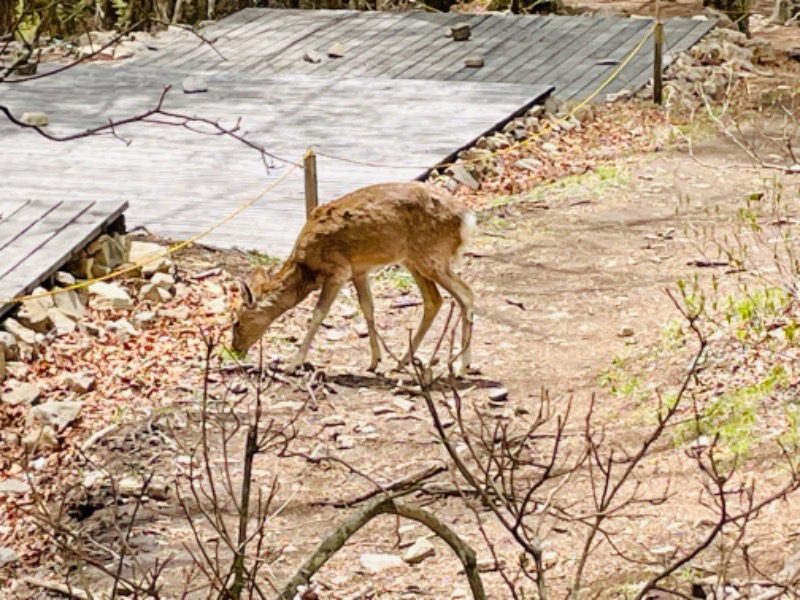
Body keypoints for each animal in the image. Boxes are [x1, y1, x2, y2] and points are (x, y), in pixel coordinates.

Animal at [230, 180, 476, 372]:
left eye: (236, 322)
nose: (235, 349)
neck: (307, 270)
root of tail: (467, 218)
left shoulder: (338, 270)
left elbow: (318, 313)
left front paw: (293, 364)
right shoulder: (359, 270)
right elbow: (367, 307)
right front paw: (375, 360)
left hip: (431, 256)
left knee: (466, 294)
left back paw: (462, 366)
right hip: (413, 260)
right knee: (434, 300)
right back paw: (402, 362)